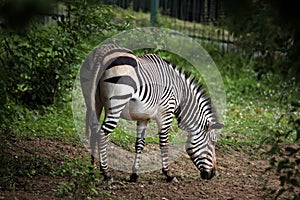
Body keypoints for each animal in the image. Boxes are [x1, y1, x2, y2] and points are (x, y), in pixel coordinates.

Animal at [79, 43, 223, 182]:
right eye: (213, 142)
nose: (213, 174)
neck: (180, 93)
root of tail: (102, 52)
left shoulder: (143, 117)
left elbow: (139, 144)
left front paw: (134, 175)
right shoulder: (166, 113)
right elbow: (164, 142)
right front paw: (168, 174)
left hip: (94, 101)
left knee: (93, 133)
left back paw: (92, 170)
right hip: (116, 104)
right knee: (102, 135)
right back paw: (106, 174)